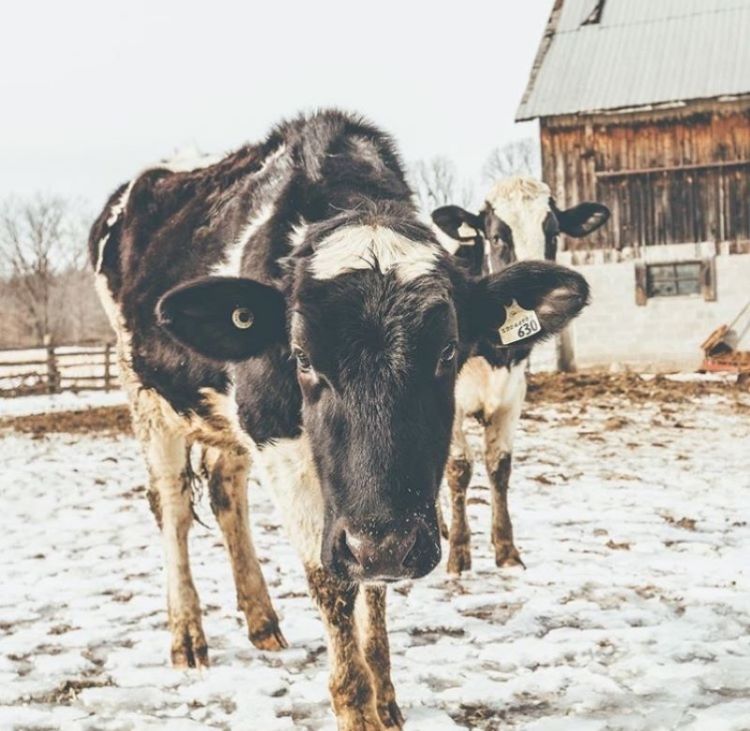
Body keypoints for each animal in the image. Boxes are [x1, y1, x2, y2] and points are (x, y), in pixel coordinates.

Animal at [89, 113, 592, 728]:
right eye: (302, 356)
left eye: (448, 350)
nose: (387, 543)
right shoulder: (281, 443)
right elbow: (334, 584)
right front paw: (357, 704)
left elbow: (374, 583)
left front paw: (386, 695)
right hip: (146, 397)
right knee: (173, 509)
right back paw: (187, 634)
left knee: (227, 495)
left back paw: (262, 620)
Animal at [434, 180, 612, 576]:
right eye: (497, 236)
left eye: (553, 234)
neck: (496, 356)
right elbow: (458, 468)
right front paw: (459, 553)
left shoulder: (513, 397)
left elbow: (499, 467)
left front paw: (506, 549)